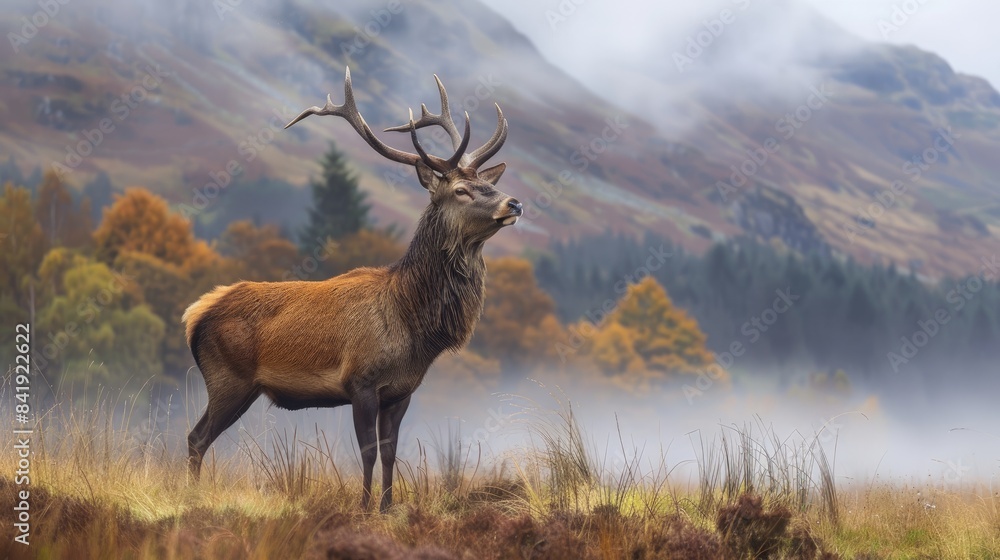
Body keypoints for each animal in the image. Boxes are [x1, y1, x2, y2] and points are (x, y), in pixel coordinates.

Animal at [182, 67, 520, 512]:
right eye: (461, 191)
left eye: (487, 183)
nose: (513, 203)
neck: (413, 322)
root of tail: (195, 314)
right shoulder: (361, 380)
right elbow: (368, 451)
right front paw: (362, 507)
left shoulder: (401, 391)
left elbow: (391, 450)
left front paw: (388, 506)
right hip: (227, 378)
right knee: (196, 437)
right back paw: (191, 499)